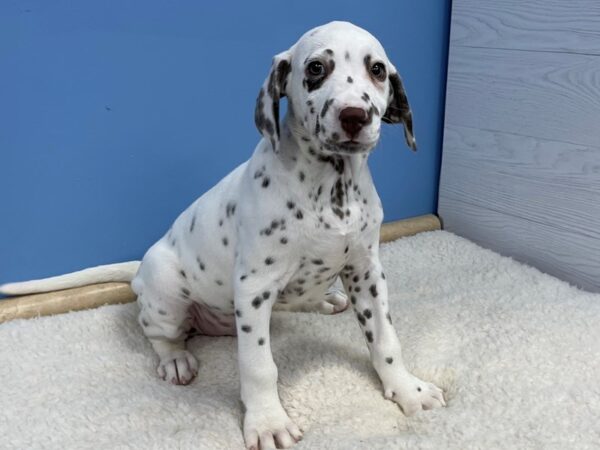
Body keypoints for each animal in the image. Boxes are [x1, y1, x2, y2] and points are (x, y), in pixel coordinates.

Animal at [1, 20, 446, 450]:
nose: (355, 116)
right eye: (317, 68)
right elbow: (259, 366)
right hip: (167, 292)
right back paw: (176, 360)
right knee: (158, 333)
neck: (331, 185)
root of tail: (141, 265)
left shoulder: (366, 272)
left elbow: (385, 341)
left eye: (377, 70)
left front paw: (408, 390)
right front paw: (268, 422)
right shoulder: (255, 286)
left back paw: (326, 299)